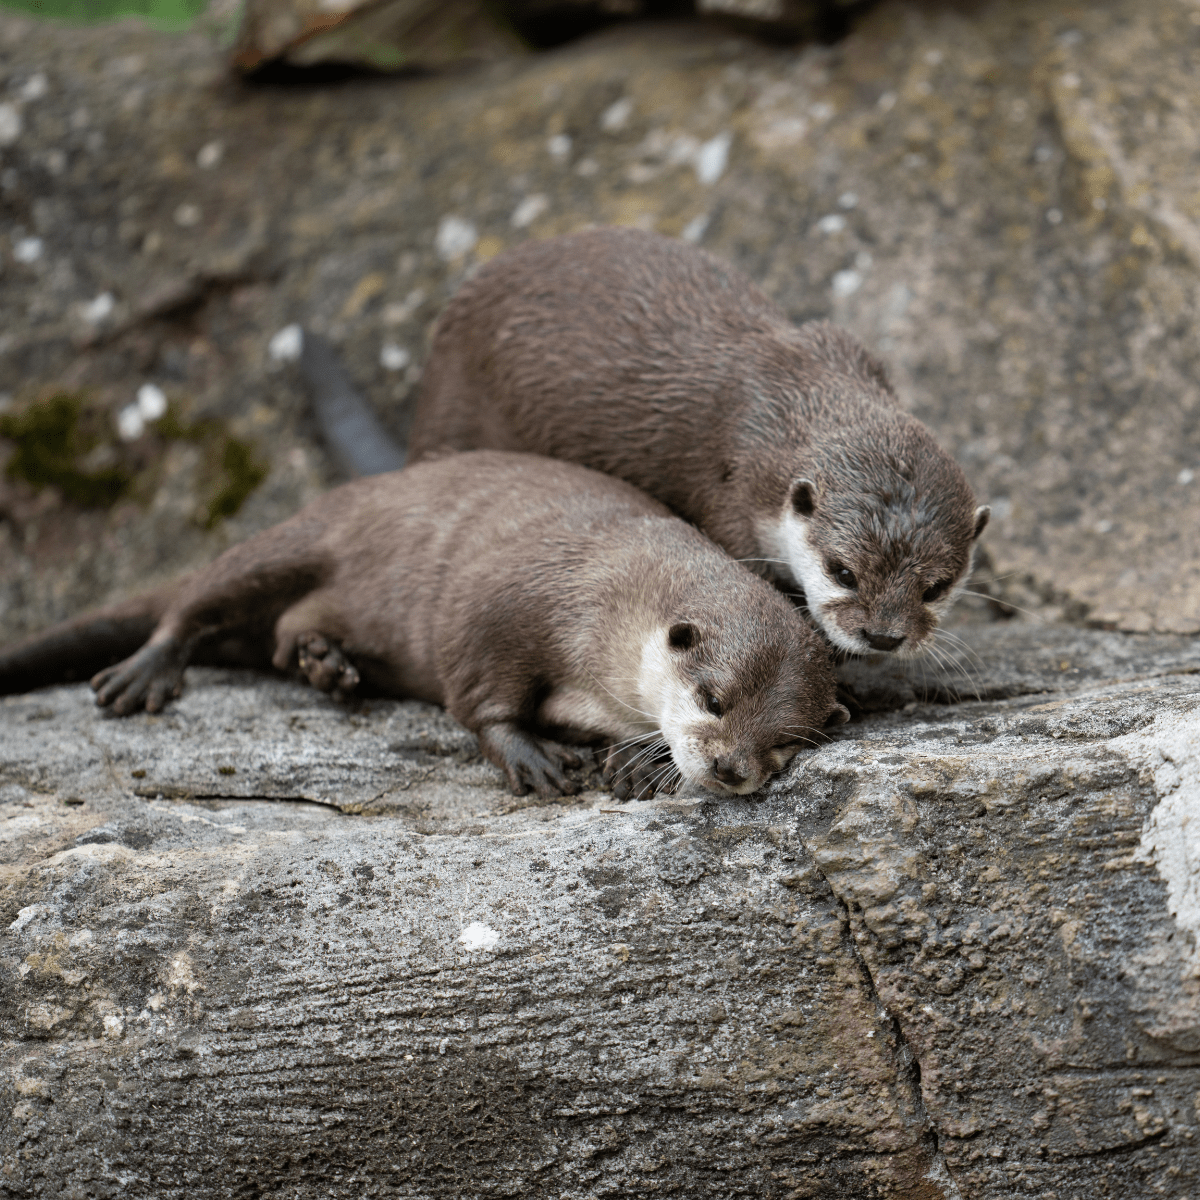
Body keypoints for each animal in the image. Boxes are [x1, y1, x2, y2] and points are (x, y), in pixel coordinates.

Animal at [0, 452, 848, 799]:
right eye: (712, 698)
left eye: (785, 743)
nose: (731, 769)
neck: (608, 593)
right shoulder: (504, 602)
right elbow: (476, 694)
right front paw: (531, 758)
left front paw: (643, 762)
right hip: (299, 537)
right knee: (197, 599)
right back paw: (145, 674)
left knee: (280, 636)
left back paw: (327, 664)